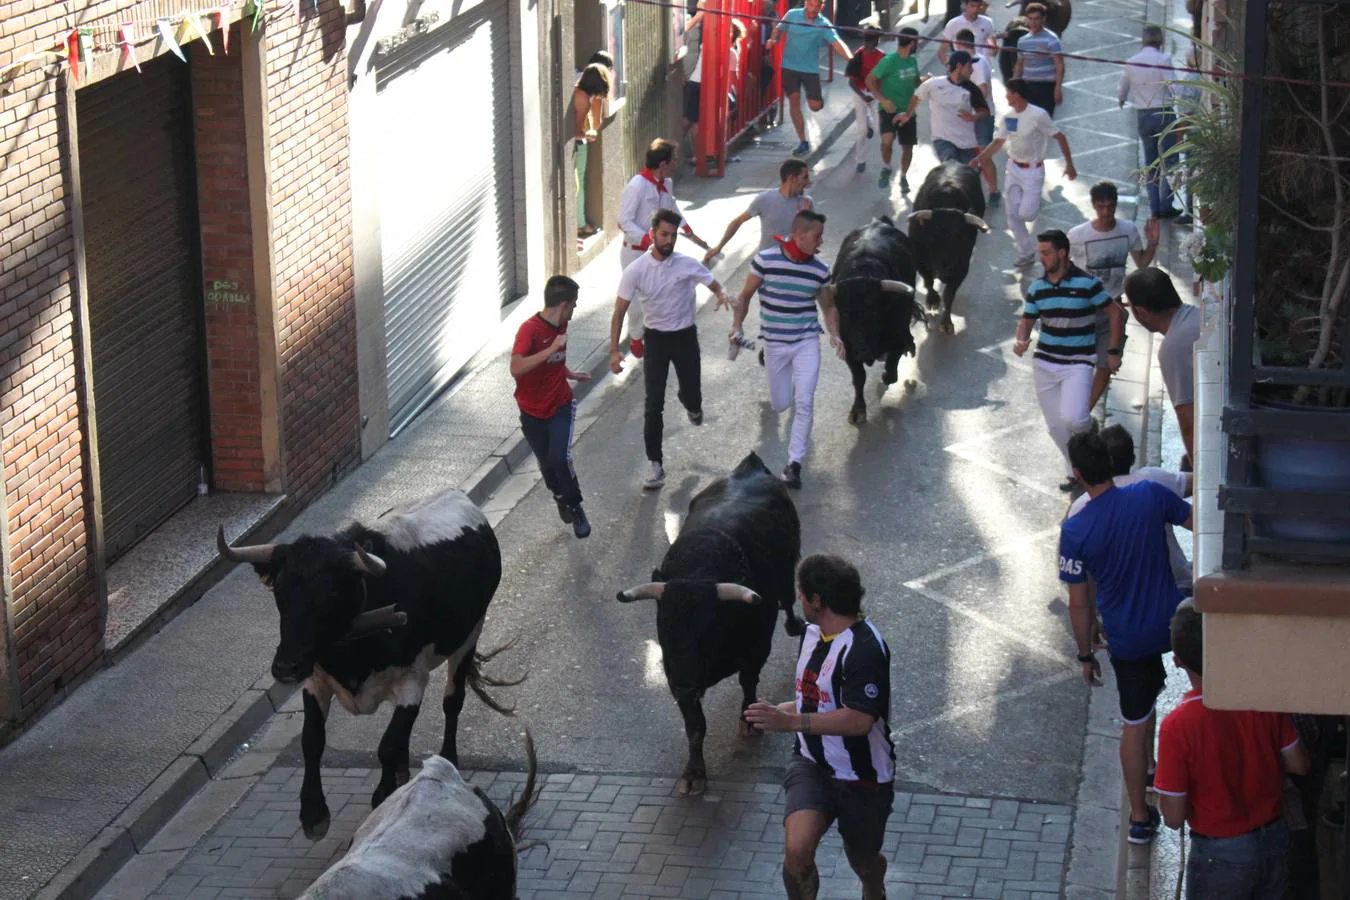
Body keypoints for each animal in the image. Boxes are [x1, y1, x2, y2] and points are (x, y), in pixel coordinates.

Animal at [216, 488, 515, 841]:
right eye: (279, 590)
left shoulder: (412, 680)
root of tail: (457, 495)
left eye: (331, 593)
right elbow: (312, 741)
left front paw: (383, 794)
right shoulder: (315, 680)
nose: (286, 667)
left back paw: (447, 759)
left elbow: (387, 744)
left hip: (471, 632)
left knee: (452, 702)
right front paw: (314, 814)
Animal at [618, 450, 804, 793]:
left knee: (788, 598)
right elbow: (695, 726)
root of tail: (750, 466)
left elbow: (749, 683)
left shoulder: (757, 650)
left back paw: (795, 624)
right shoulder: (678, 680)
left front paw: (748, 721)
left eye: (710, 630)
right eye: (663, 627)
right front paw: (694, 773)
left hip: (788, 568)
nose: (684, 682)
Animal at [826, 218, 923, 429]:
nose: (861, 351)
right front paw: (858, 410)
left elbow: (892, 366)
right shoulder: (848, 349)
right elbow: (859, 378)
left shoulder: (897, 337)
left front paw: (888, 373)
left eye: (875, 313)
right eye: (844, 312)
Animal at [907, 159, 993, 333]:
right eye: (933, 236)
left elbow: (949, 296)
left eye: (962, 237)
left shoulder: (961, 269)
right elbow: (928, 282)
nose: (946, 270)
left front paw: (946, 322)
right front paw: (933, 300)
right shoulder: (919, 261)